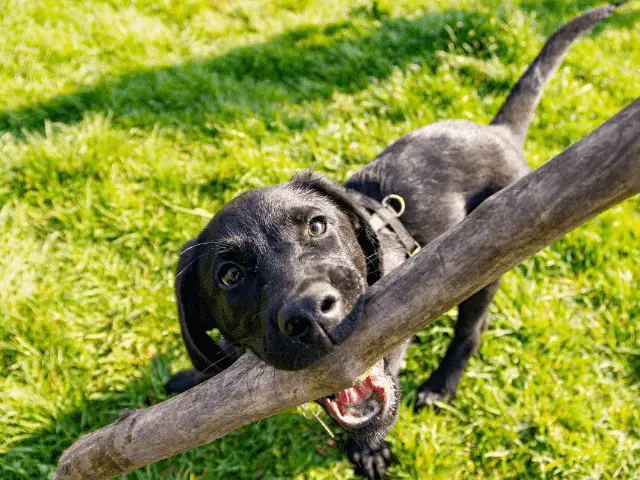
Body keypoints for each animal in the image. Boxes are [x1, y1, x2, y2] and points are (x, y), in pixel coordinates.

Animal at [166, 5, 620, 478]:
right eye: (229, 276)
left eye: (317, 227)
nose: (311, 314)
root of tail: (499, 133)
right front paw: (192, 377)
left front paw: (368, 448)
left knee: (470, 329)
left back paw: (440, 385)